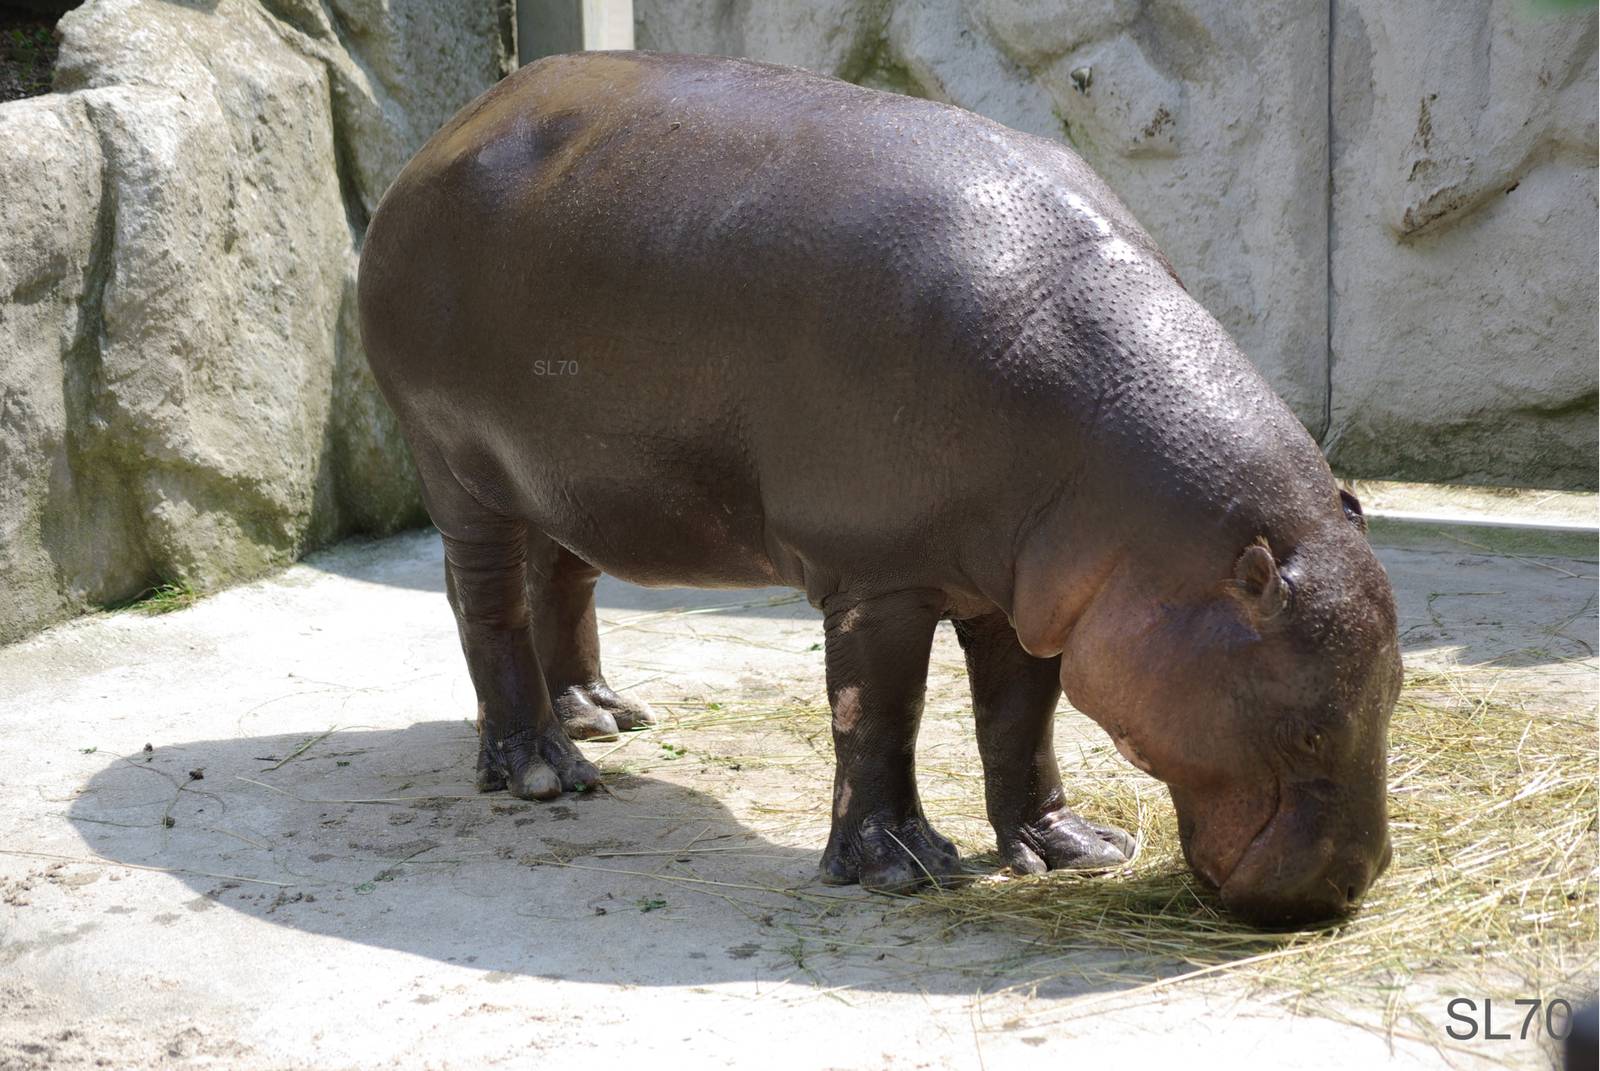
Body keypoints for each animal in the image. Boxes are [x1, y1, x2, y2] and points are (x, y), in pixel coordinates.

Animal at [357, 51, 1400, 925]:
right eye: (1305, 726)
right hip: (457, 462)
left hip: (567, 473)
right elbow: (880, 716)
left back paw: (602, 716)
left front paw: (1074, 848)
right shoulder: (876, 576)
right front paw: (905, 867)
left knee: (559, 577)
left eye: (1393, 687)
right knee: (484, 601)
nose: (1351, 887)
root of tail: (441, 136)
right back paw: (543, 771)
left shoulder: (1029, 584)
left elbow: (1020, 721)